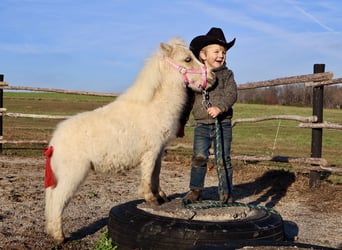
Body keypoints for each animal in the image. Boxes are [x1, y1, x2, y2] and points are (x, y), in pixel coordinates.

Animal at [44, 38, 212, 243]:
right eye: (187, 59)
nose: (212, 78)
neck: (153, 106)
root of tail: (55, 140)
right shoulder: (151, 152)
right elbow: (147, 176)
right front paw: (151, 199)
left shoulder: (158, 152)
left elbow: (155, 175)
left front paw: (161, 197)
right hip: (72, 175)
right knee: (57, 200)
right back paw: (59, 236)